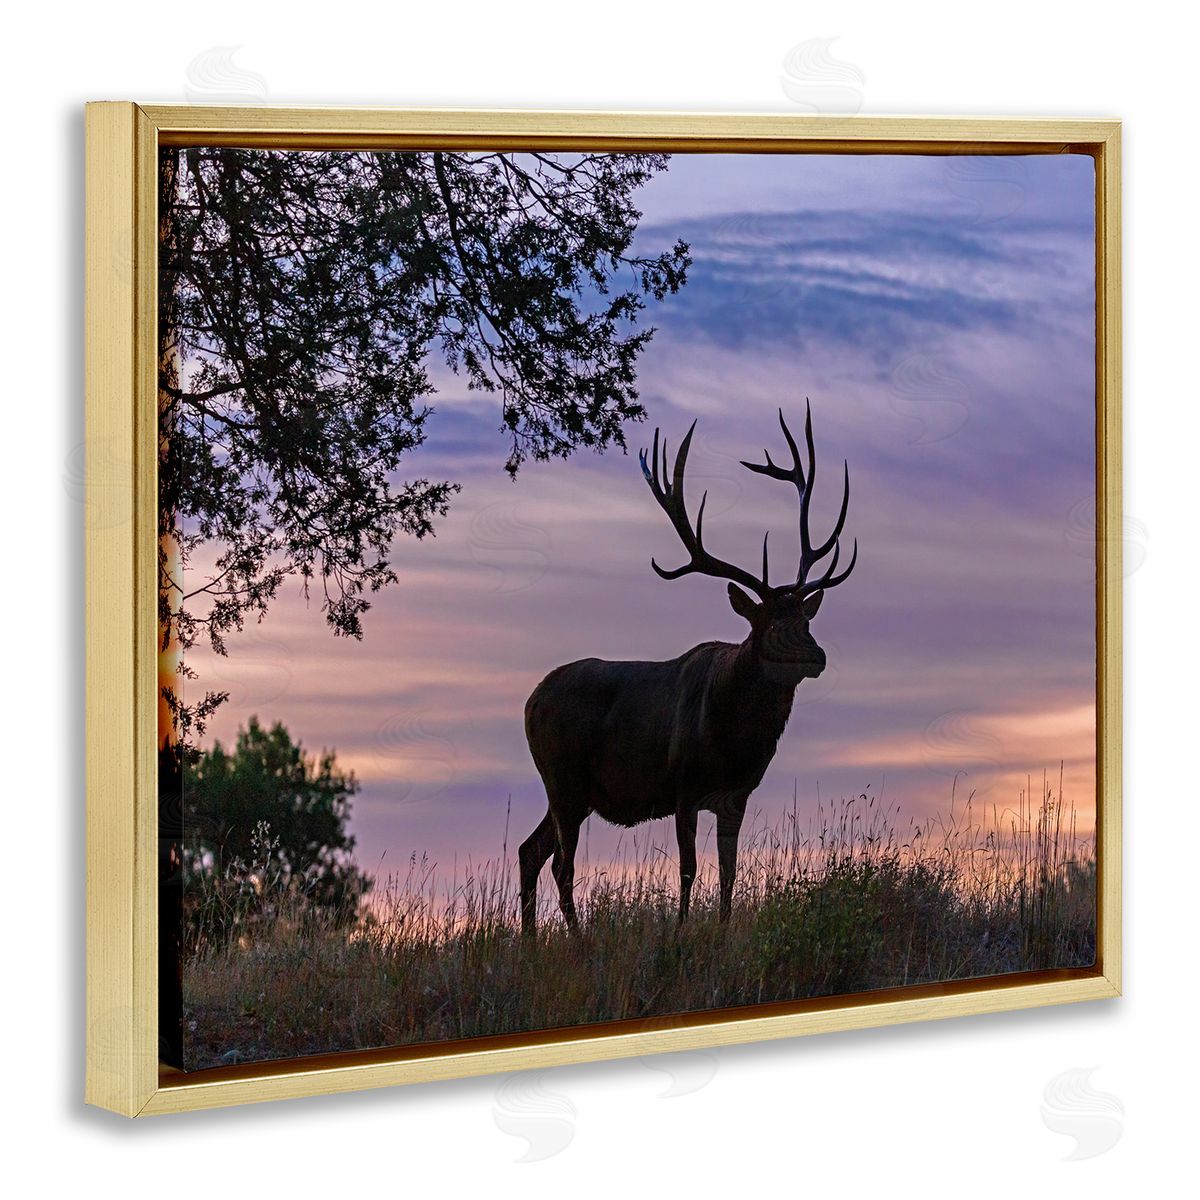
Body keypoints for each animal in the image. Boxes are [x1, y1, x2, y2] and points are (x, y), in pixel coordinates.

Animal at [519, 403, 857, 936]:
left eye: (805, 618)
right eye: (768, 624)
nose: (816, 655)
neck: (734, 743)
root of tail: (530, 701)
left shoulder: (736, 795)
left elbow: (729, 871)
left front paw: (721, 933)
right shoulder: (682, 786)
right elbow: (688, 868)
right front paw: (678, 935)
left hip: (572, 791)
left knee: (529, 850)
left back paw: (532, 941)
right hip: (562, 778)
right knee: (560, 863)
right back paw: (576, 940)